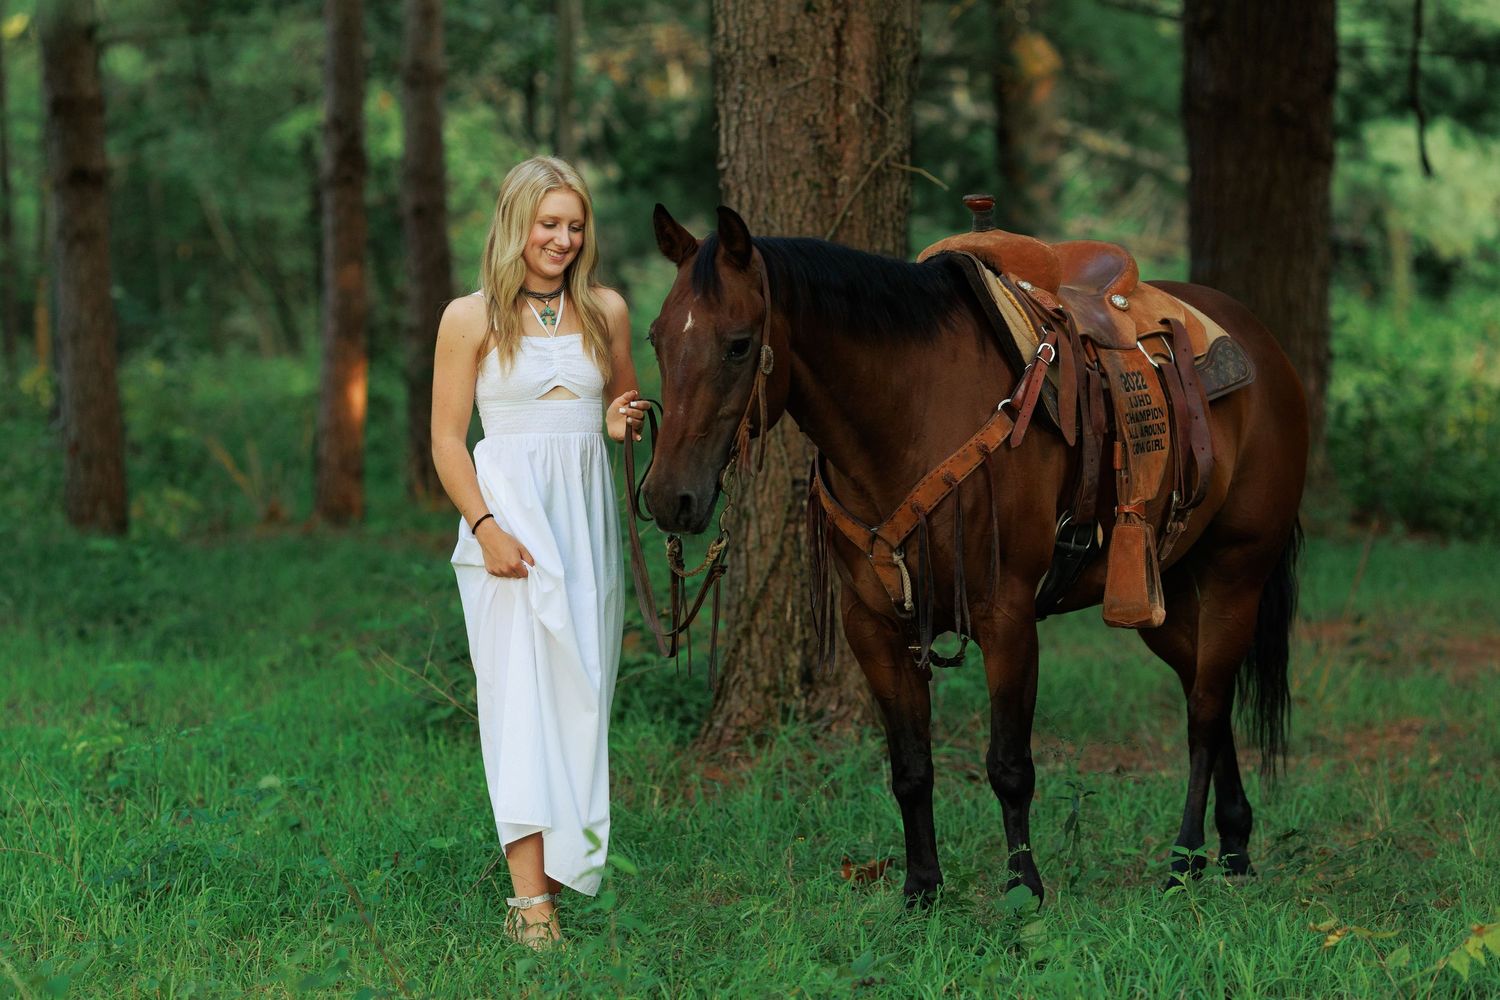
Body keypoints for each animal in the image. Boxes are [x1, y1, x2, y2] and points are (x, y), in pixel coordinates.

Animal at [640, 203, 1307, 904]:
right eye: (657, 339)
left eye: (739, 344)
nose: (667, 497)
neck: (911, 413)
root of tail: (1263, 347)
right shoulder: (872, 624)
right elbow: (910, 767)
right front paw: (921, 889)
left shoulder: (1005, 614)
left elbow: (1010, 764)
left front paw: (1023, 889)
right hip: (1161, 594)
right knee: (1208, 688)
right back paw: (1233, 843)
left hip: (1238, 573)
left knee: (1205, 710)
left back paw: (1184, 858)